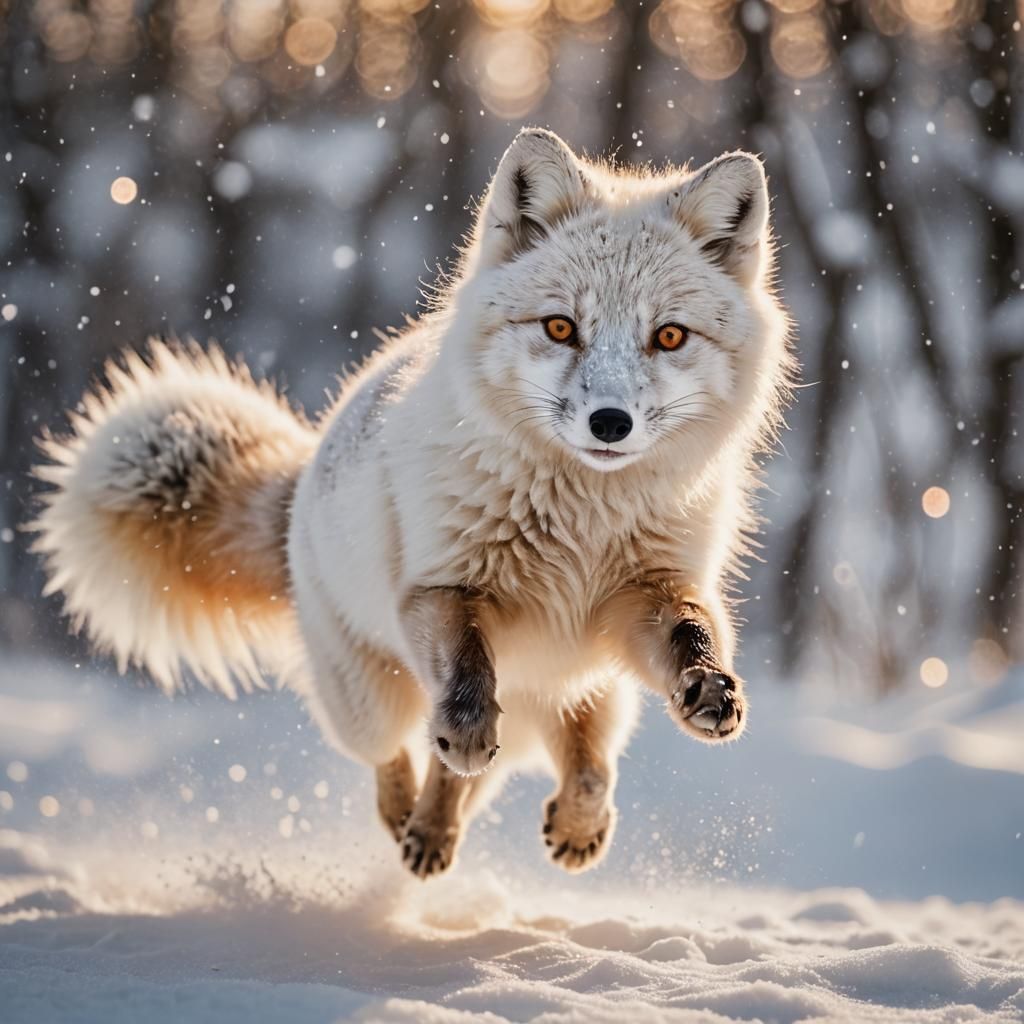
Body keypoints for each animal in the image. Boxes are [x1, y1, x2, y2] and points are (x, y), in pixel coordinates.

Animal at [32, 129, 791, 878]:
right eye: (559, 328)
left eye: (669, 336)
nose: (610, 423)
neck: (582, 526)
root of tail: (304, 481)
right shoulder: (442, 590)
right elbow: (466, 678)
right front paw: (460, 739)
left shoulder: (647, 593)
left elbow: (691, 637)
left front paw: (709, 688)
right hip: (368, 701)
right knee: (400, 758)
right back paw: (413, 823)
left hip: (591, 691)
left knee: (573, 765)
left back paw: (553, 827)